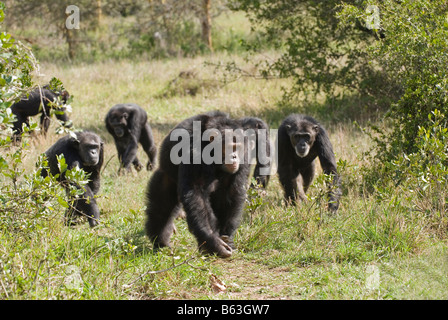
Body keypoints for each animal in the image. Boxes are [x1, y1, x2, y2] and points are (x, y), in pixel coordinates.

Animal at [146, 111, 252, 258]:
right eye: (229, 147)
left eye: (238, 147)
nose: (235, 156)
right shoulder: (193, 153)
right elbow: (196, 192)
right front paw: (213, 242)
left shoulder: (245, 154)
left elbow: (232, 192)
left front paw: (227, 238)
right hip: (166, 176)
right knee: (161, 208)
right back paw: (161, 243)